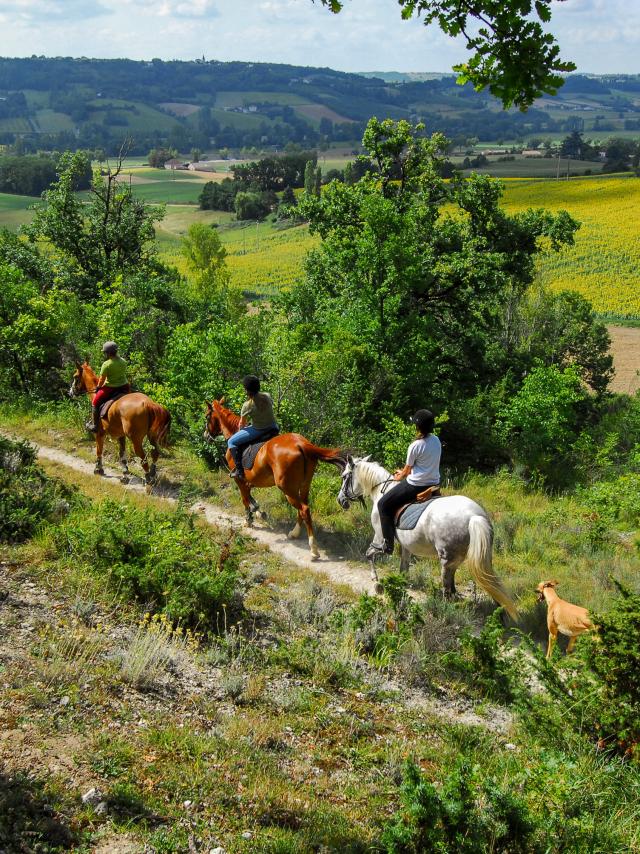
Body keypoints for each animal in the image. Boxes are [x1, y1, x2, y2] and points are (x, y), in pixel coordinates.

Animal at [205, 398, 344, 560]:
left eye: (207, 417)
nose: (206, 436)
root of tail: (301, 444)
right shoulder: (248, 481)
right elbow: (250, 497)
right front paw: (258, 512)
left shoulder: (239, 480)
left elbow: (245, 499)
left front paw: (249, 520)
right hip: (303, 486)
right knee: (303, 509)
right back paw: (294, 533)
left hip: (287, 489)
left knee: (303, 509)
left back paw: (313, 549)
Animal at [338, 454, 516, 620]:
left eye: (345, 476)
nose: (340, 500)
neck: (381, 491)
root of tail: (474, 516)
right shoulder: (406, 546)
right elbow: (403, 569)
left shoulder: (379, 537)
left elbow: (369, 554)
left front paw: (376, 583)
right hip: (466, 557)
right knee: (478, 581)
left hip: (446, 559)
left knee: (447, 588)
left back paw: (446, 612)